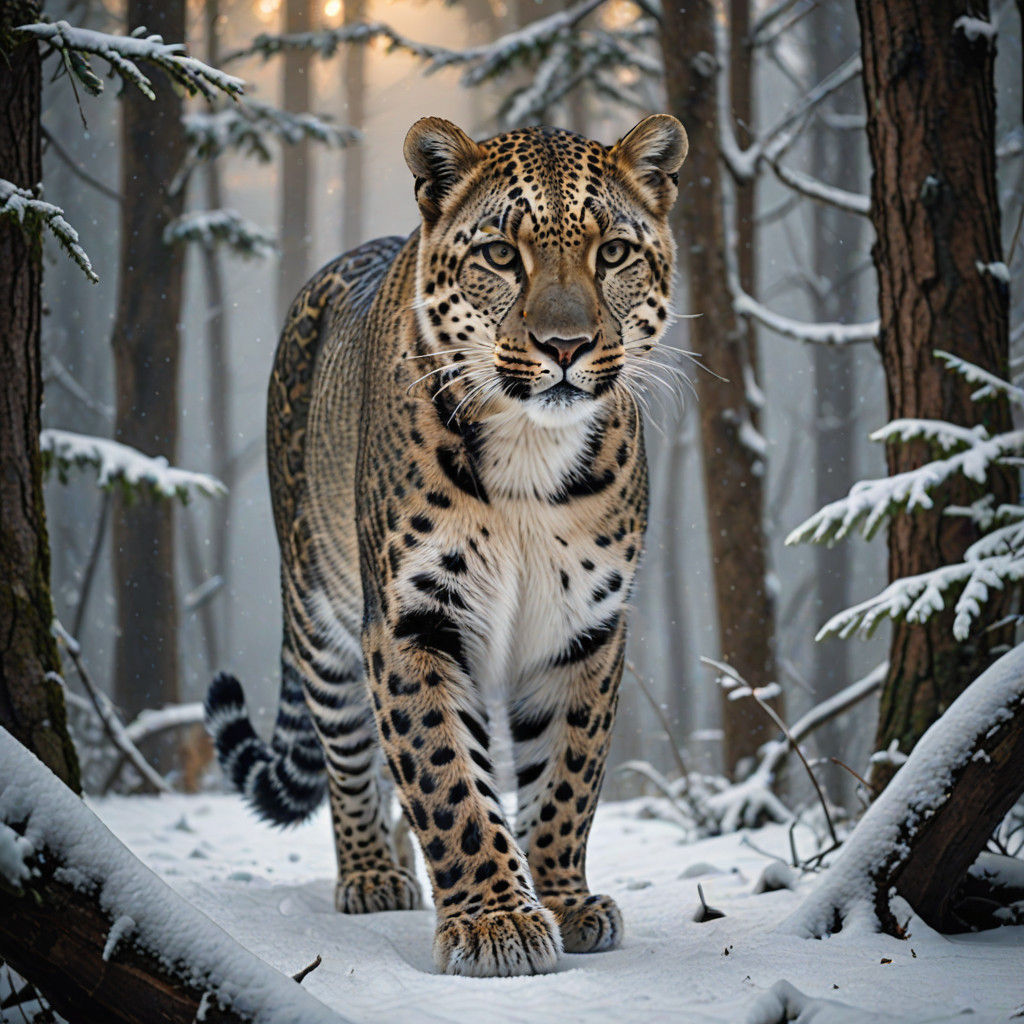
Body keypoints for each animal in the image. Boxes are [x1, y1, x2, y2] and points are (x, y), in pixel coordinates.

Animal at [204, 113, 688, 977]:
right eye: (500, 254)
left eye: (612, 254)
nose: (565, 345)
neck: (532, 449)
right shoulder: (414, 620)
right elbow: (446, 776)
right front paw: (495, 921)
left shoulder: (585, 628)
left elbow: (566, 775)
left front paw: (562, 900)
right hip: (319, 616)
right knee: (349, 757)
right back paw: (373, 872)